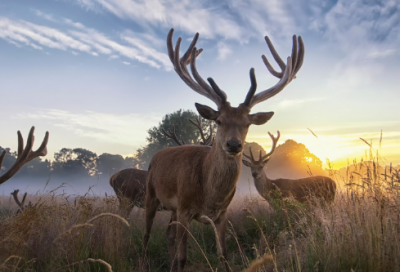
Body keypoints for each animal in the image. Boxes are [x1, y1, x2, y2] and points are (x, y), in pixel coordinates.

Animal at [144, 28, 306, 272]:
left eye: (247, 123)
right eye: (218, 121)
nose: (234, 145)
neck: (209, 195)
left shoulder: (222, 214)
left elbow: (224, 255)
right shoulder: (184, 208)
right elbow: (183, 258)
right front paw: (179, 263)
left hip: (171, 208)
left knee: (168, 234)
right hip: (151, 194)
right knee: (147, 235)